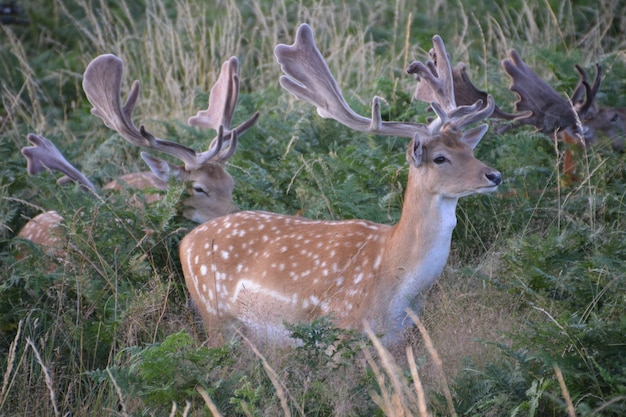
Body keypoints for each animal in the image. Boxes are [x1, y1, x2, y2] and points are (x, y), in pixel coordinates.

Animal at [178, 24, 500, 346]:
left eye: (469, 150)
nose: (494, 175)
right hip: (215, 315)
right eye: (440, 158)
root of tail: (185, 242)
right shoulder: (341, 326)